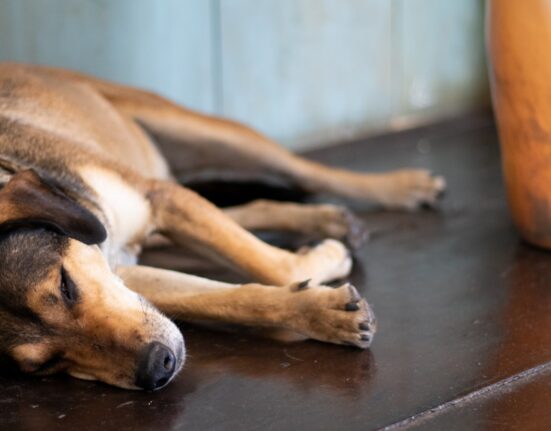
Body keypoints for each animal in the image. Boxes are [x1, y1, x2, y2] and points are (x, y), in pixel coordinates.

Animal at [0, 62, 444, 390]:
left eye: (66, 286)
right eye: (45, 365)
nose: (157, 368)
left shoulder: (159, 200)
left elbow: (271, 264)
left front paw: (325, 266)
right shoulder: (125, 271)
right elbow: (225, 297)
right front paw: (323, 312)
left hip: (198, 131)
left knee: (307, 172)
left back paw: (403, 186)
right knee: (247, 208)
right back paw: (327, 220)